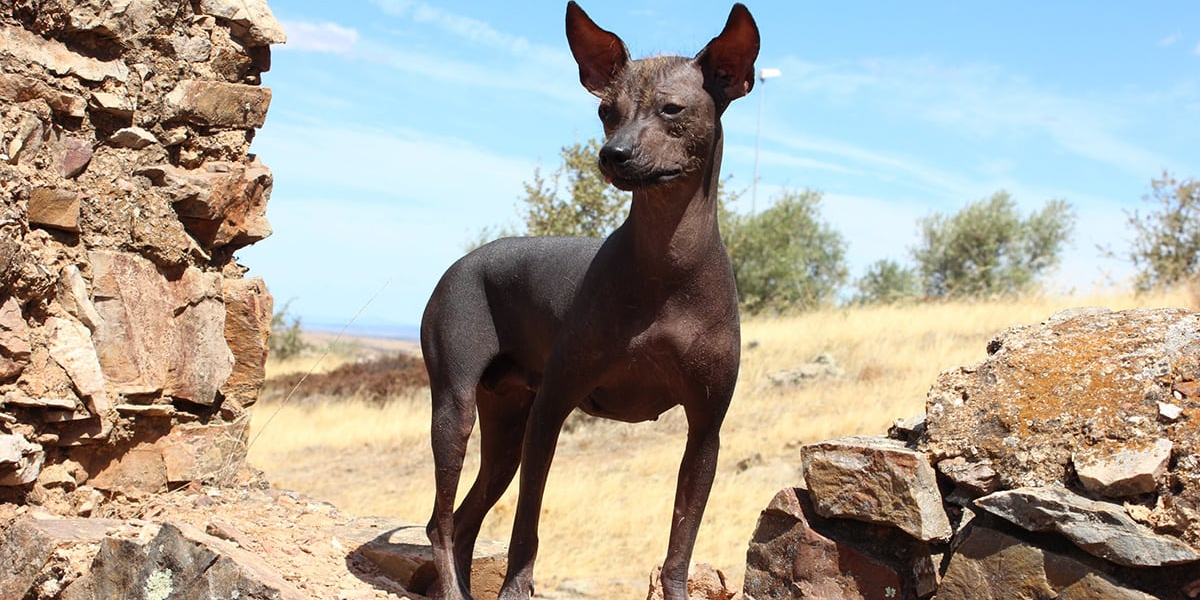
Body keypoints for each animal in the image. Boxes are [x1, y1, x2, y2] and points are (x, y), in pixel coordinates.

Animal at [424, 2, 758, 597]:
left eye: (672, 109)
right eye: (606, 111)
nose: (612, 153)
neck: (666, 265)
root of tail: (463, 262)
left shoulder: (705, 432)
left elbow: (680, 545)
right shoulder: (551, 411)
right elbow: (525, 528)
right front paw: (516, 588)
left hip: (506, 427)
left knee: (462, 520)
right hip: (456, 409)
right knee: (440, 523)